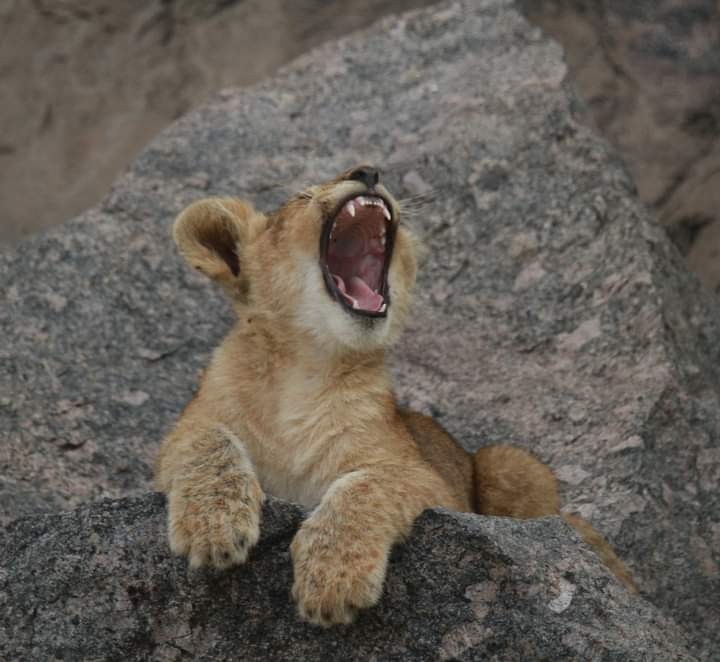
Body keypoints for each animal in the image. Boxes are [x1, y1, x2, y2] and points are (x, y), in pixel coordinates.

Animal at [155, 165, 636, 627]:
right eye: (301, 197)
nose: (368, 172)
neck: (307, 367)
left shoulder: (429, 482)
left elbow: (368, 483)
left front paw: (333, 578)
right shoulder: (176, 442)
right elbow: (208, 440)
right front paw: (213, 529)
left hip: (511, 463)